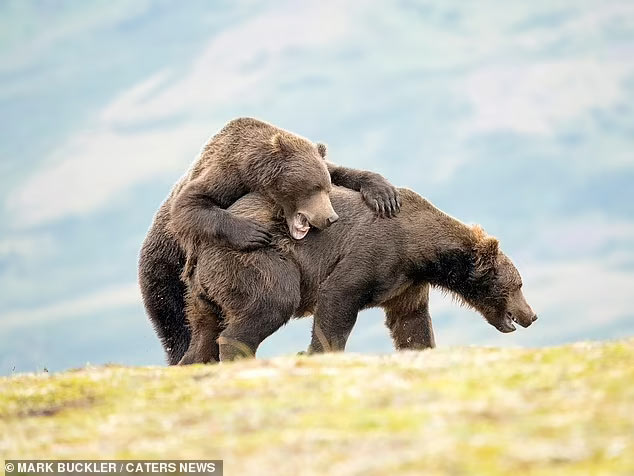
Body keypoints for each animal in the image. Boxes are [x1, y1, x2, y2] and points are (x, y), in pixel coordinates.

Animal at [138, 118, 398, 364]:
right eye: (311, 187)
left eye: (325, 187)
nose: (330, 217)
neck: (253, 169)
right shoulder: (224, 175)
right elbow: (189, 204)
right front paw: (253, 232)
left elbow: (341, 170)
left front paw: (383, 192)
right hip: (164, 276)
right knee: (175, 325)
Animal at [180, 187, 536, 364]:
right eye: (518, 285)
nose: (531, 315)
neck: (421, 249)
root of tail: (199, 250)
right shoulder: (375, 251)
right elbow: (338, 298)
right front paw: (319, 351)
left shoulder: (406, 282)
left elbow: (411, 322)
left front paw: (419, 347)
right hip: (255, 259)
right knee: (271, 302)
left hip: (205, 292)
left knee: (203, 333)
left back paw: (193, 361)